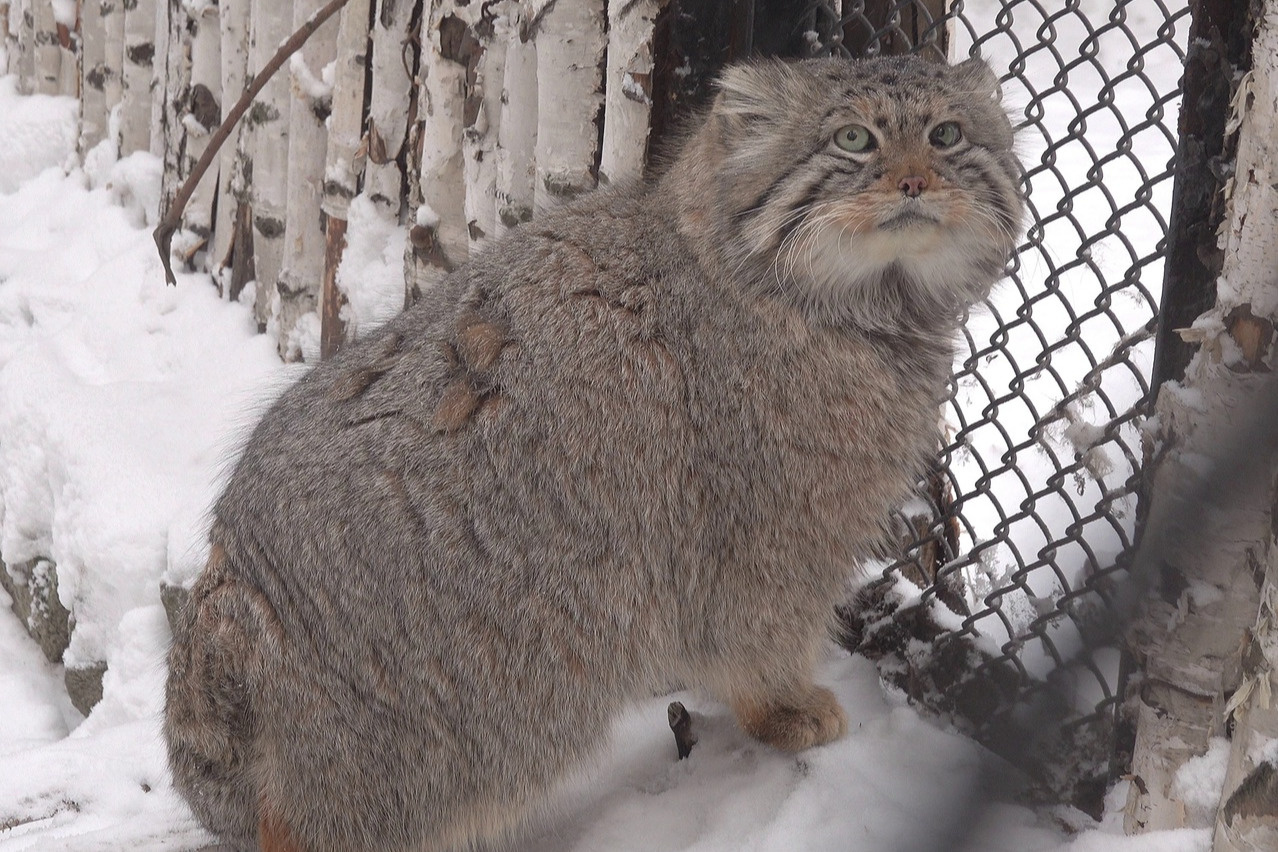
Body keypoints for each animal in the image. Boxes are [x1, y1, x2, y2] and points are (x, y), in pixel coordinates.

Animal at [164, 54, 1022, 852]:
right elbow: (759, 637)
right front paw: (785, 709)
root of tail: (226, 607)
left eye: (947, 136)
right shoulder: (773, 533)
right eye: (853, 140)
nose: (915, 179)